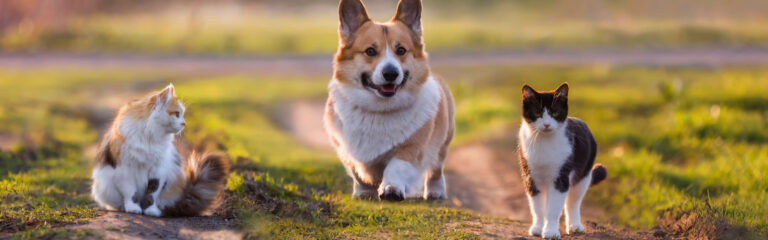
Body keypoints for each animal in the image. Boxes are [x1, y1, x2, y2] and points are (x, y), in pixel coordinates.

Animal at [90, 85, 228, 218]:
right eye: (177, 114)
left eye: (182, 114)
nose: (184, 123)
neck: (150, 136)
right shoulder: (125, 170)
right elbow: (131, 193)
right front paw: (133, 208)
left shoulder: (158, 171)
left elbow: (152, 194)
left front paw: (150, 211)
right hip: (104, 187)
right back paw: (122, 207)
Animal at [320, 0, 452, 201]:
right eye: (370, 51)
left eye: (401, 50)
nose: (391, 73)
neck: (378, 110)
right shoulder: (344, 148)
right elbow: (357, 173)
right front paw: (364, 192)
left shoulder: (411, 148)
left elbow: (396, 167)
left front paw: (391, 189)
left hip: (443, 143)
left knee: (436, 169)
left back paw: (435, 191)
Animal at [520, 82, 608, 238]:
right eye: (537, 113)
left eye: (555, 113)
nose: (547, 124)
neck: (544, 142)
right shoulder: (531, 177)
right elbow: (537, 208)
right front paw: (538, 228)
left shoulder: (560, 177)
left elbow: (553, 208)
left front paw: (550, 231)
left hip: (583, 176)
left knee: (573, 202)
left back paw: (574, 226)